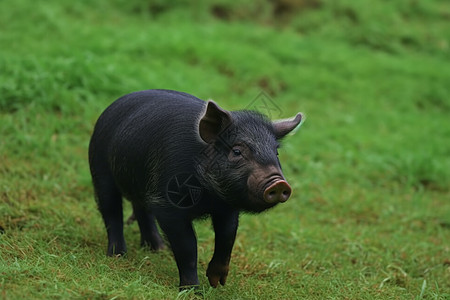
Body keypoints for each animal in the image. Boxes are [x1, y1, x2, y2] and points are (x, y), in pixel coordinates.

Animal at [88, 89, 302, 288]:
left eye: (276, 153)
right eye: (237, 151)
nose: (278, 183)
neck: (209, 197)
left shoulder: (227, 207)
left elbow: (227, 236)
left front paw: (217, 283)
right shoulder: (168, 205)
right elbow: (188, 245)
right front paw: (193, 290)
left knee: (142, 210)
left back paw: (158, 249)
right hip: (100, 169)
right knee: (111, 211)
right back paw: (117, 255)